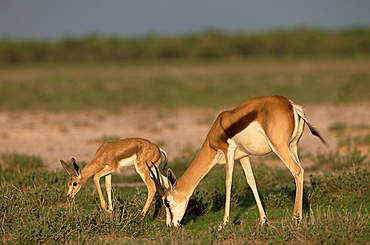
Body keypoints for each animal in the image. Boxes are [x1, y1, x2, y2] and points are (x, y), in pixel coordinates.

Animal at [149, 95, 326, 228]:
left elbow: (228, 182)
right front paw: (263, 220)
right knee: (300, 171)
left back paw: (296, 218)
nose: (170, 225)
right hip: (293, 146)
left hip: (280, 147)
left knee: (297, 170)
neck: (218, 128)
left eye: (166, 202)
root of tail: (293, 107)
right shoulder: (243, 156)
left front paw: (224, 222)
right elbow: (251, 181)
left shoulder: (229, 150)